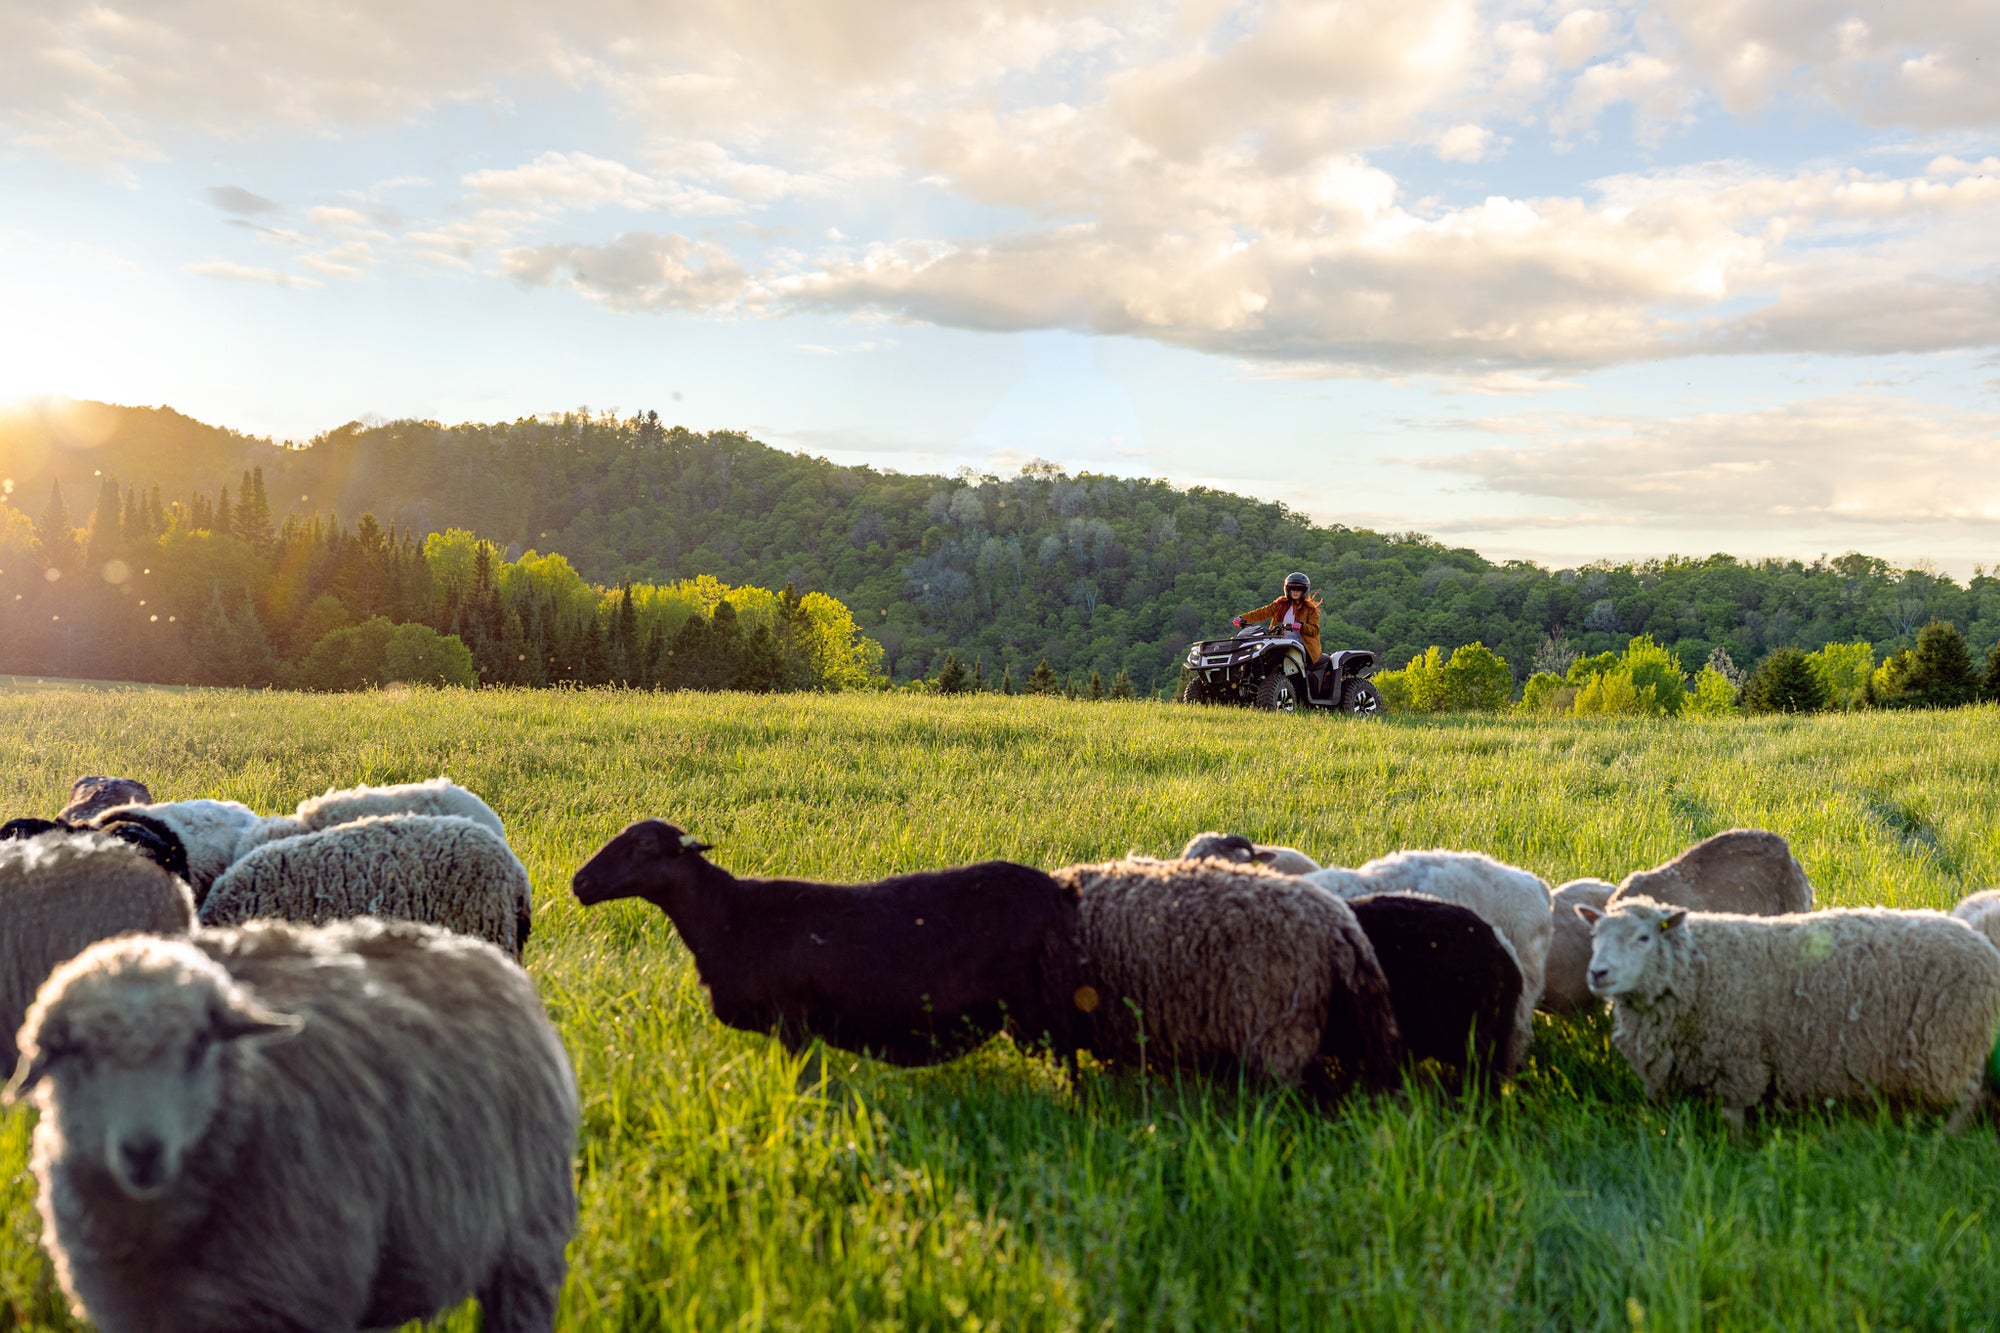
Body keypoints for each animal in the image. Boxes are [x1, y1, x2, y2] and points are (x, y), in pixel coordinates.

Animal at [572, 819, 1086, 1066]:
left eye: (644, 845)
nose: (580, 882)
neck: (727, 916)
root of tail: (1055, 889)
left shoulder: (791, 1021)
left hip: (1041, 1009)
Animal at [1579, 896, 2000, 1132]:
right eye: (1595, 936)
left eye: (1643, 938)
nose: (1597, 973)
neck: (1698, 970)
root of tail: (1984, 948)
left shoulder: (1739, 1061)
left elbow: (1733, 1118)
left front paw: (1734, 1152)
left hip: (1949, 1048)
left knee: (1968, 1102)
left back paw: (1941, 1143)